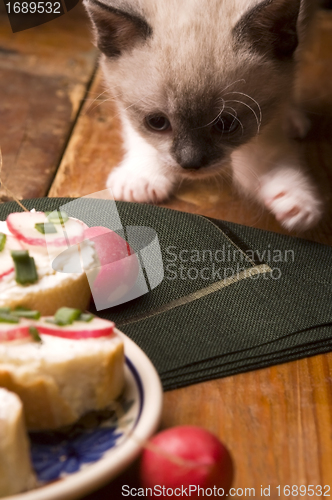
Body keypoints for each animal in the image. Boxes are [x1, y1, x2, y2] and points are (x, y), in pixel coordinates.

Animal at [83, 0, 322, 230]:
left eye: (226, 124)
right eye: (157, 122)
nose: (190, 164)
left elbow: (264, 143)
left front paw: (290, 191)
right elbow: (138, 133)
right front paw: (141, 177)